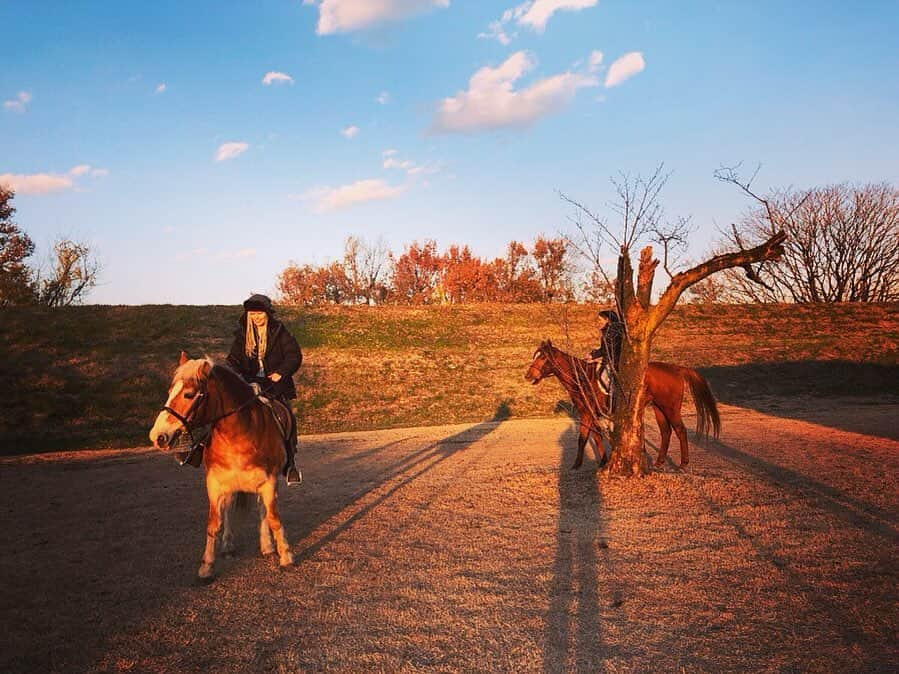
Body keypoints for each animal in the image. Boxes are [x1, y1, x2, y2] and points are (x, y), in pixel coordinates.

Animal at [149, 352, 294, 576]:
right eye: (170, 392)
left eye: (189, 394)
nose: (158, 436)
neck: (240, 434)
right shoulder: (215, 483)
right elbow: (214, 523)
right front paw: (207, 565)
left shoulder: (268, 481)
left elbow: (272, 518)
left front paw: (285, 555)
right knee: (228, 508)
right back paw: (227, 545)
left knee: (261, 510)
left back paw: (267, 545)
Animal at [524, 342, 720, 468]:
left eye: (543, 358)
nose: (528, 375)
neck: (582, 377)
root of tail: (676, 369)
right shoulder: (593, 414)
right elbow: (596, 437)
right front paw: (603, 461)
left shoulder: (586, 413)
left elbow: (583, 438)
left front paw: (576, 465)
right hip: (659, 408)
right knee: (666, 432)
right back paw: (658, 462)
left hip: (670, 408)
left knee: (680, 430)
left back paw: (684, 463)